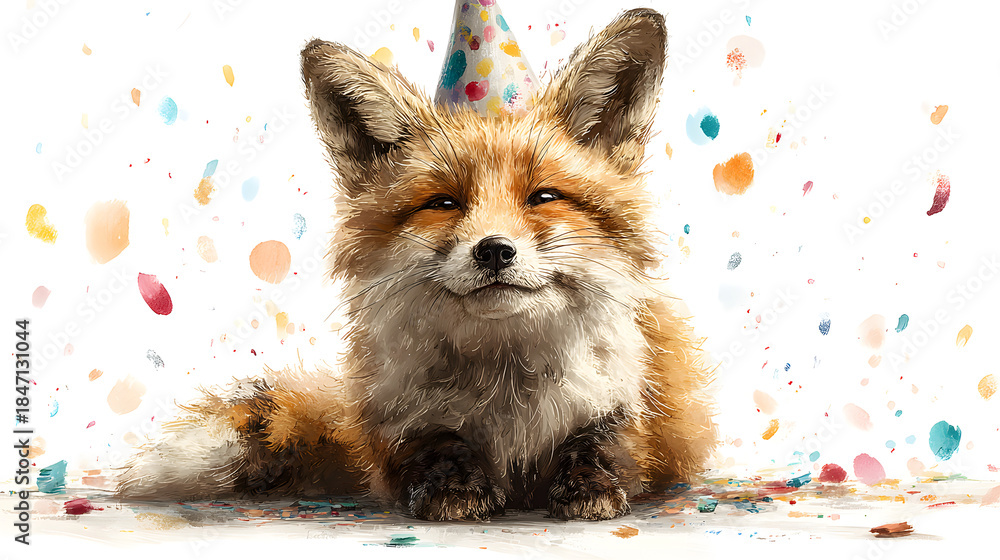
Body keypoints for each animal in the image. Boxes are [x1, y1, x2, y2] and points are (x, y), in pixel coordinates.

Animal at [117, 8, 716, 521]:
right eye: (443, 202)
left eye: (544, 197)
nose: (494, 250)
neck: (505, 388)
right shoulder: (392, 418)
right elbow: (432, 448)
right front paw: (454, 490)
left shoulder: (638, 405)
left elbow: (604, 444)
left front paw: (589, 488)